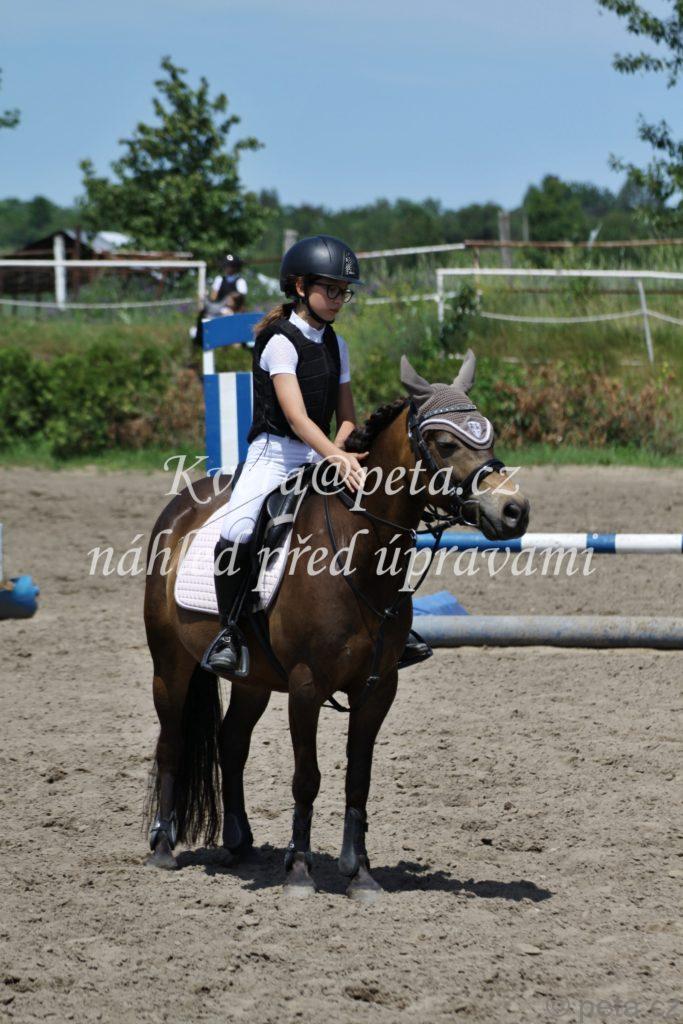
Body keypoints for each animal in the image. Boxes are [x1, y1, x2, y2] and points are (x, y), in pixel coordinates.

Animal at [144, 350, 530, 898]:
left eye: (488, 436)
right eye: (446, 443)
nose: (514, 511)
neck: (357, 551)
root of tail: (180, 510)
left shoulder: (377, 688)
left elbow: (358, 778)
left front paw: (360, 872)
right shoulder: (306, 687)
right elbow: (307, 777)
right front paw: (300, 870)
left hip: (253, 678)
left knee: (231, 741)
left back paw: (239, 843)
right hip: (170, 665)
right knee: (172, 740)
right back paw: (162, 847)